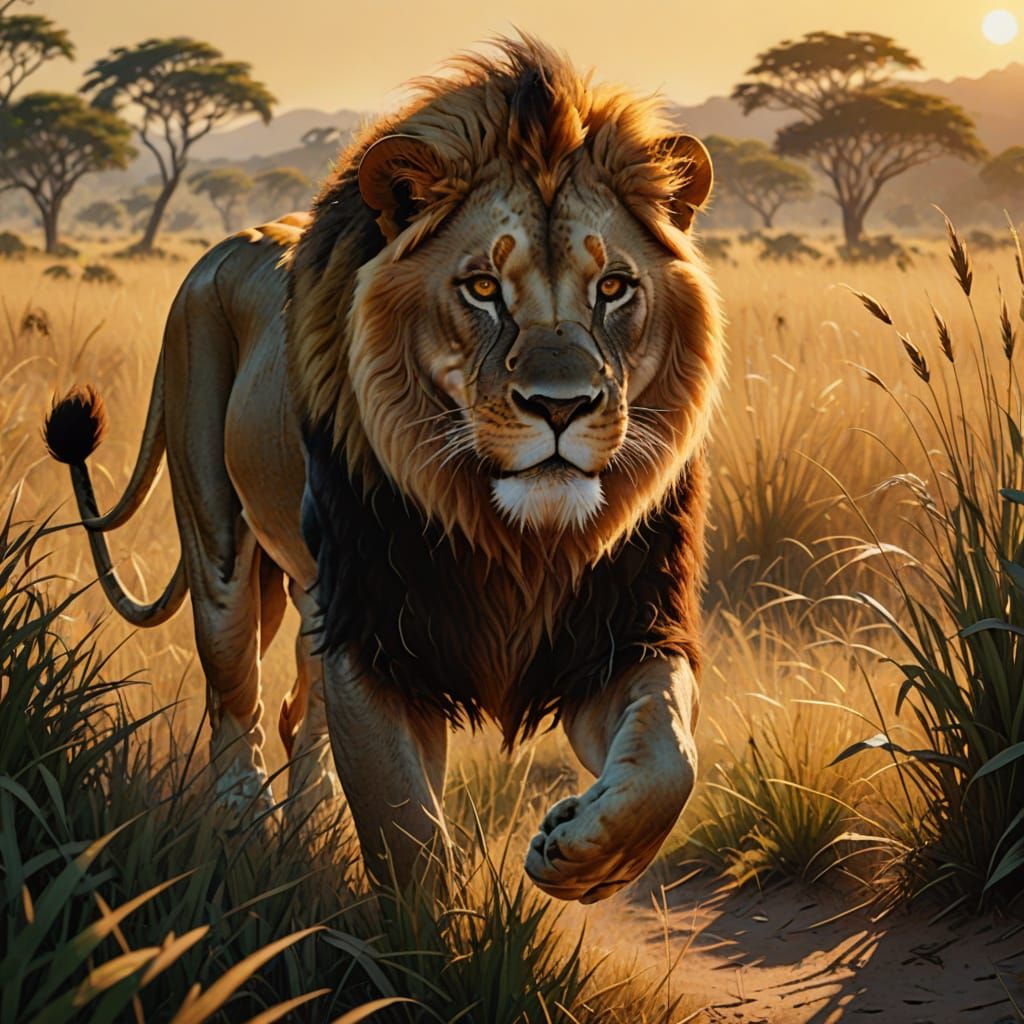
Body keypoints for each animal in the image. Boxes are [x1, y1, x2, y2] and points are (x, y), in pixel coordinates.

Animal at [44, 37, 724, 904]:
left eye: (613, 288)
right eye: (481, 288)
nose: (560, 407)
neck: (514, 538)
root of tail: (217, 253)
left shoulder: (620, 625)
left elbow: (666, 757)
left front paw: (585, 854)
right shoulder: (374, 637)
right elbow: (408, 837)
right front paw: (435, 939)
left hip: (310, 590)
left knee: (297, 715)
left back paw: (306, 832)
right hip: (224, 547)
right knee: (235, 701)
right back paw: (244, 829)